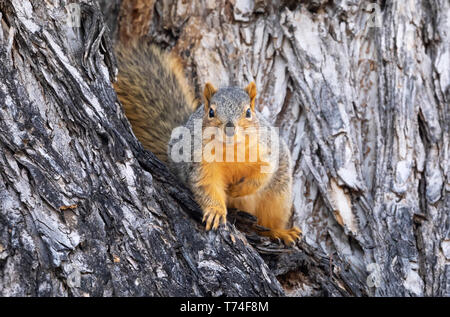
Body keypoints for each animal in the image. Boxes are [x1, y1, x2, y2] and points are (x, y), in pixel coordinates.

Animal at [114, 40, 300, 243]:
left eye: (248, 112)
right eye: (211, 112)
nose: (229, 128)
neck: (231, 150)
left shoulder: (266, 149)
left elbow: (262, 175)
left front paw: (237, 190)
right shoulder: (200, 161)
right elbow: (207, 185)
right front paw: (215, 211)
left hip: (278, 197)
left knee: (269, 221)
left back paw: (280, 232)